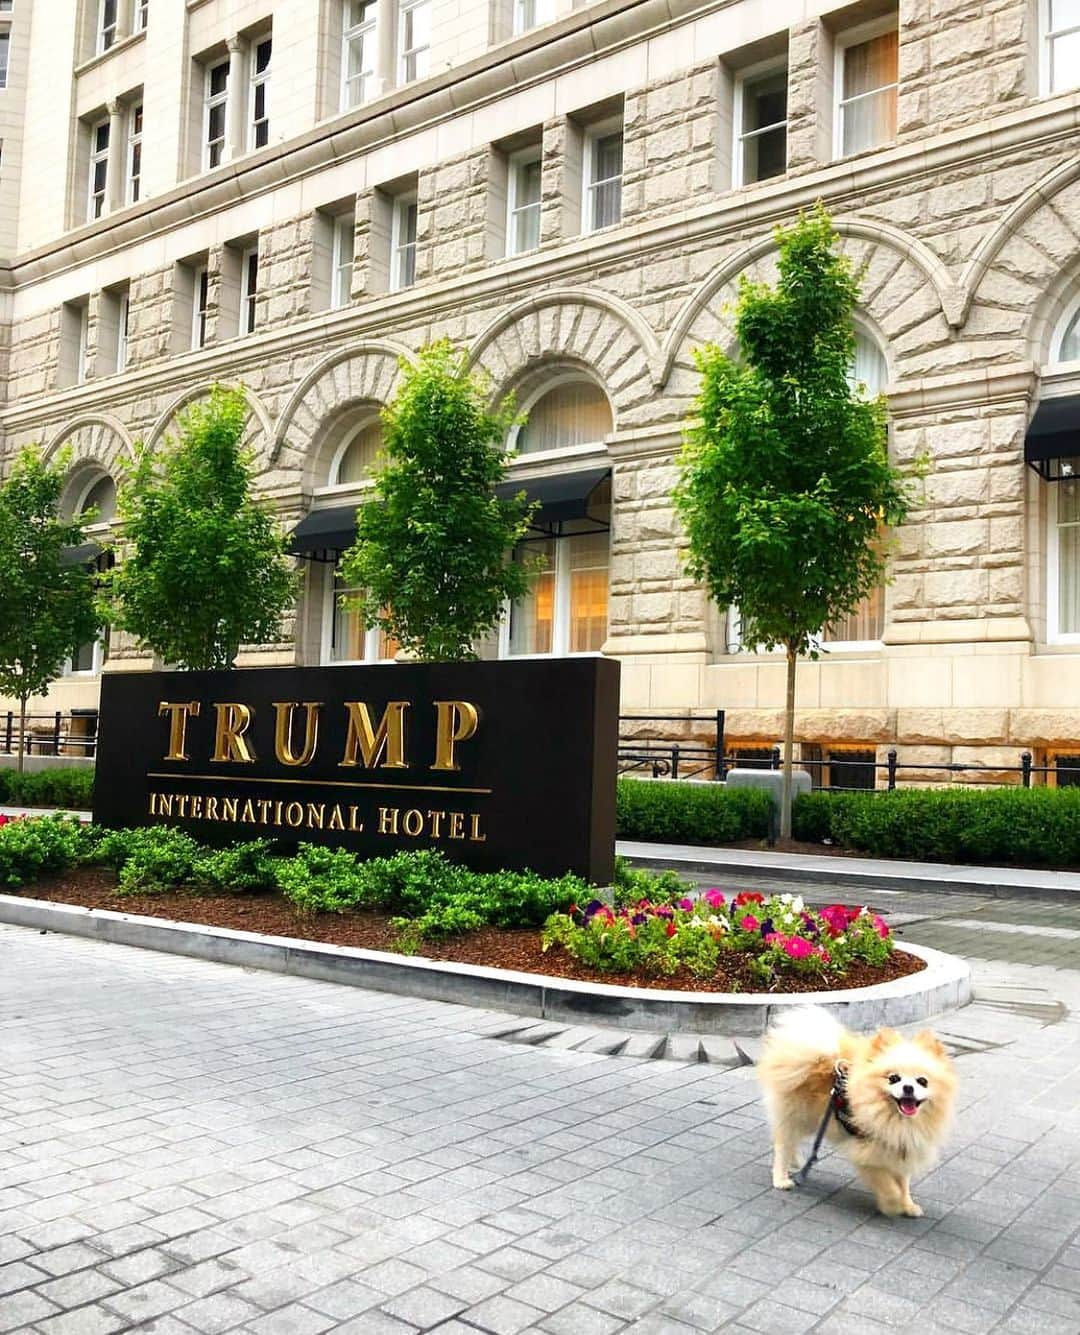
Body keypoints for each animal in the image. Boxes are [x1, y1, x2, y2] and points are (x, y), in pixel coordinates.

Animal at [752, 1003, 955, 1217]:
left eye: (922, 1081)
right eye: (893, 1078)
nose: (908, 1088)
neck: (896, 1119)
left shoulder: (901, 1146)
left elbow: (903, 1182)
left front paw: (908, 1205)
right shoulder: (867, 1152)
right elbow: (888, 1185)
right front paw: (892, 1205)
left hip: (809, 1119)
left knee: (790, 1141)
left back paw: (796, 1162)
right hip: (797, 1114)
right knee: (782, 1144)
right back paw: (781, 1179)